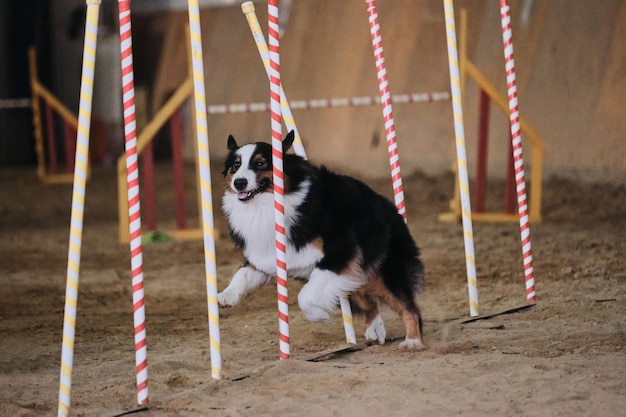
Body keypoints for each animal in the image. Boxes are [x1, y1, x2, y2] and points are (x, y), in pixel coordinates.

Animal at [214, 130, 424, 348]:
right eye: (235, 165)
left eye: (260, 163)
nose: (239, 183)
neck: (263, 206)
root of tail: (392, 209)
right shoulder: (266, 258)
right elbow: (242, 274)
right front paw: (226, 296)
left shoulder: (340, 253)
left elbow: (304, 296)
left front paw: (319, 315)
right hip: (355, 277)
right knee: (370, 303)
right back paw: (375, 329)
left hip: (385, 272)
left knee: (409, 308)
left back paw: (412, 341)